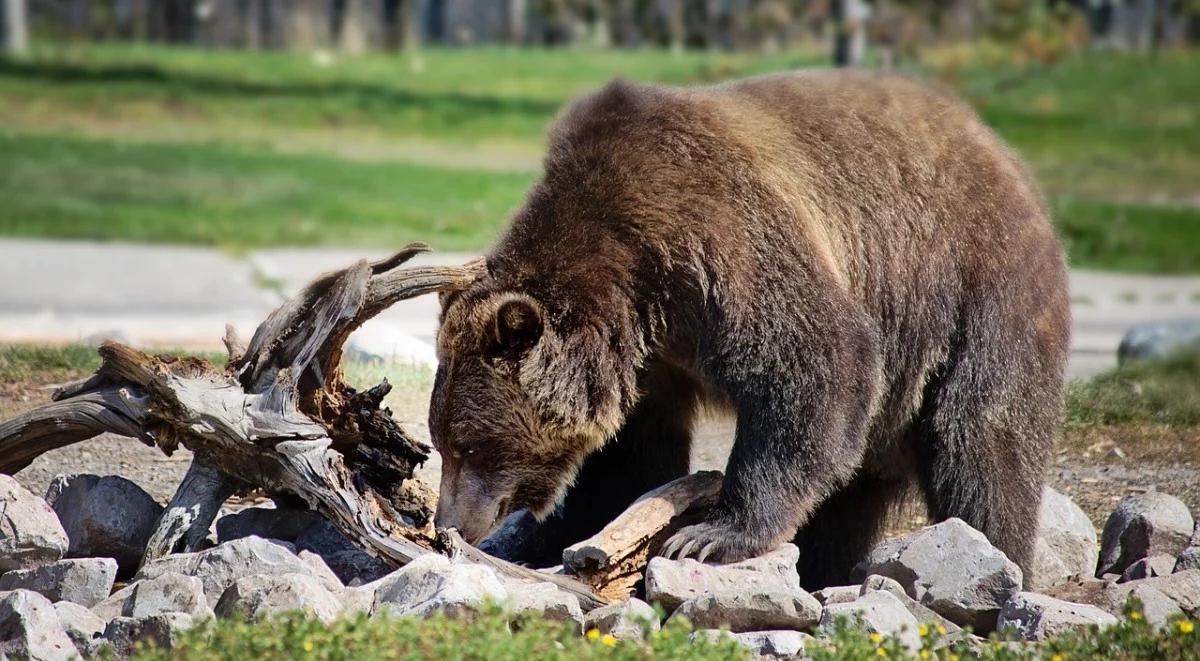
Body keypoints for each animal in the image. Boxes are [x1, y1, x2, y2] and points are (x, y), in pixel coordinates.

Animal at [429, 71, 1070, 590]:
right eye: (443, 442)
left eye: (468, 446)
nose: (448, 523)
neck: (635, 287)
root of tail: (998, 149)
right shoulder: (652, 360)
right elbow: (630, 458)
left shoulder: (717, 238)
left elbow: (816, 361)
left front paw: (709, 535)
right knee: (850, 494)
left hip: (974, 292)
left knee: (980, 442)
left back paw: (997, 555)